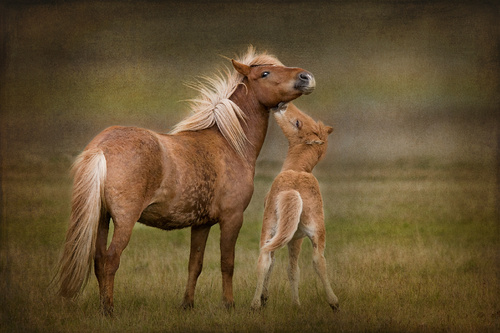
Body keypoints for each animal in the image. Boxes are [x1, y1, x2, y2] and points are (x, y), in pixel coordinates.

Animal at [55, 46, 316, 314]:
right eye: (265, 73)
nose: (306, 77)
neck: (229, 143)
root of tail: (101, 147)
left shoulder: (201, 224)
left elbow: (195, 264)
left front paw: (187, 304)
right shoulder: (232, 218)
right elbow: (227, 263)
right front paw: (229, 305)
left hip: (101, 218)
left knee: (98, 261)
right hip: (124, 221)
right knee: (110, 260)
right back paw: (108, 311)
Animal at [250, 103, 340, 312]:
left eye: (298, 123)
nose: (283, 104)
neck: (298, 169)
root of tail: (293, 190)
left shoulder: (294, 238)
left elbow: (287, 267)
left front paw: (271, 298)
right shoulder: (295, 236)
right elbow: (292, 268)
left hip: (271, 228)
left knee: (266, 258)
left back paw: (257, 303)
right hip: (313, 232)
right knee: (317, 260)